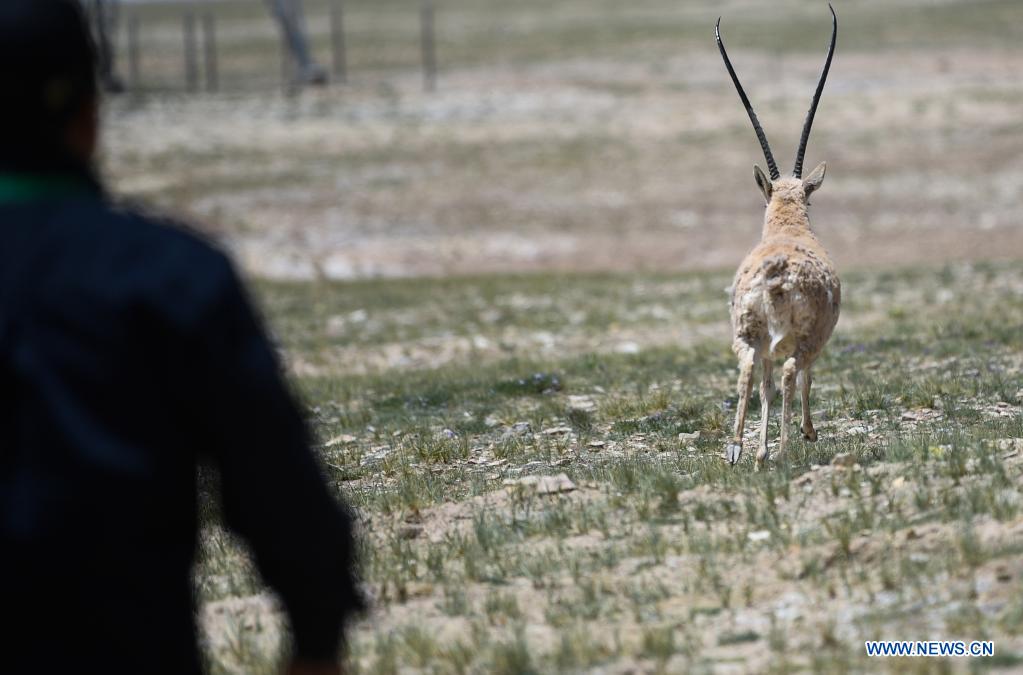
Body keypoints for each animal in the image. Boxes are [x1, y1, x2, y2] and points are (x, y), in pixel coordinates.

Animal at [717, 5, 841, 470]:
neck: (788, 227)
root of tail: (777, 271)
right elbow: (805, 379)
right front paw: (805, 433)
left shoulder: (767, 346)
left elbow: (765, 388)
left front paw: (761, 449)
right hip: (805, 339)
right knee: (792, 373)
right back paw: (787, 448)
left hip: (747, 335)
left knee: (750, 373)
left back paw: (738, 448)